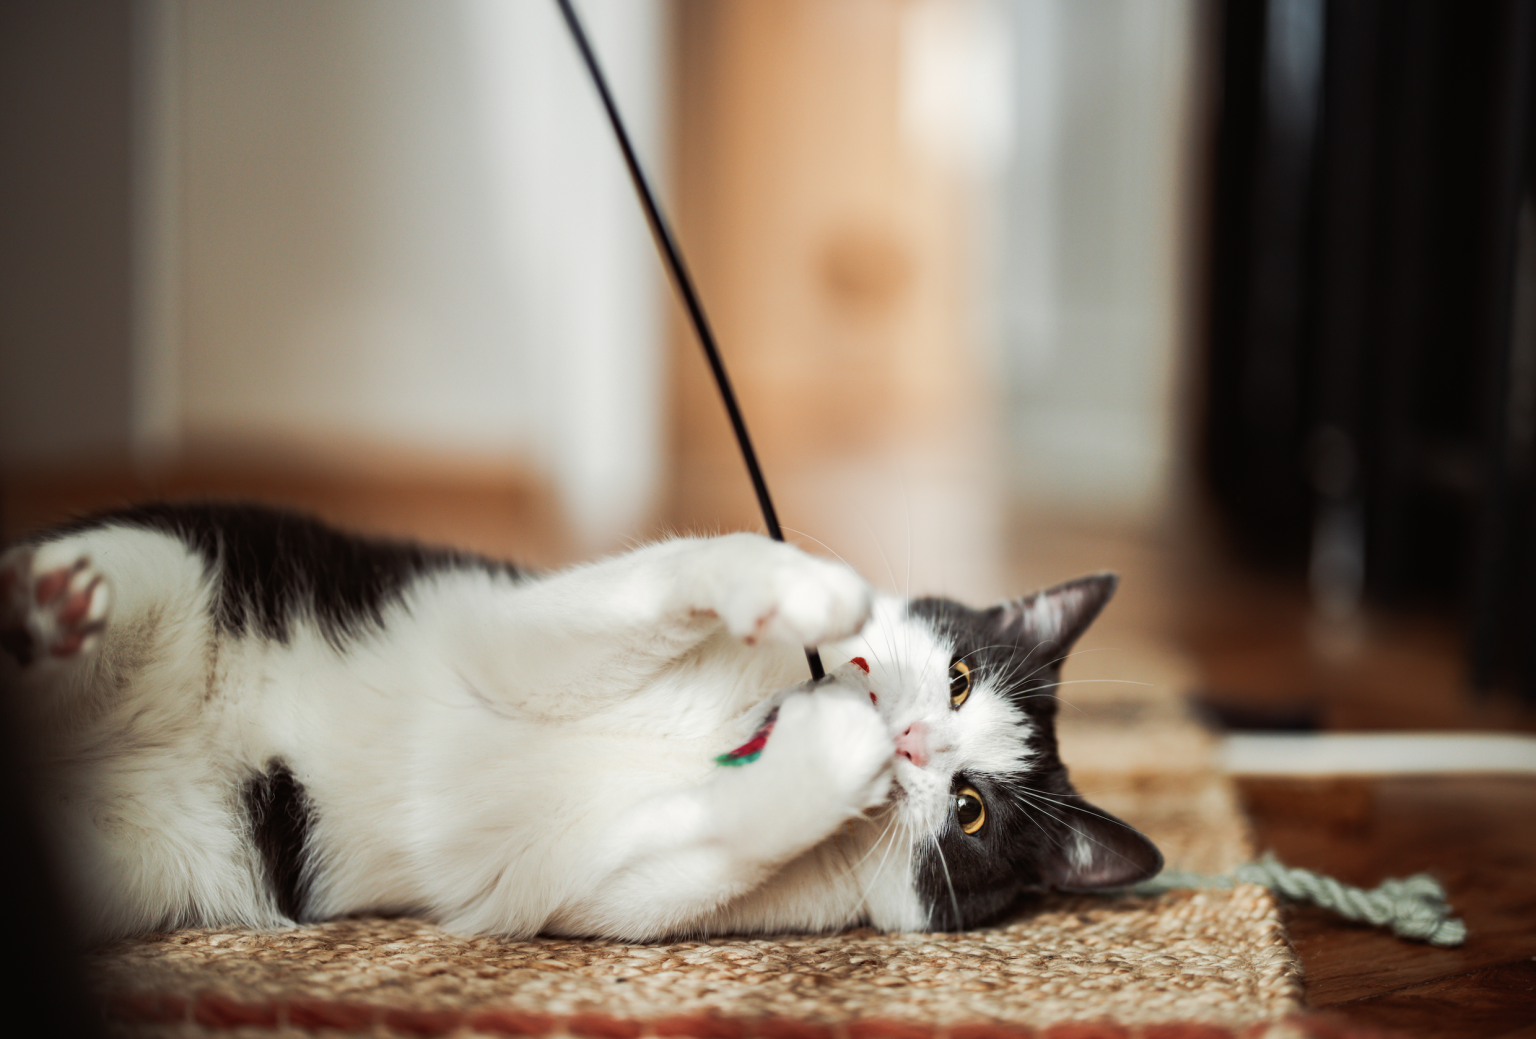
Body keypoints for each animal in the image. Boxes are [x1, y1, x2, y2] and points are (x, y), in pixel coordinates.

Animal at [0, 497, 1155, 946]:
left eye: (970, 810)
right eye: (958, 678)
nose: (917, 741)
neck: (729, 730)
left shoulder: (594, 887)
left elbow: (718, 839)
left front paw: (833, 758)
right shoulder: (511, 634)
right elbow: (675, 567)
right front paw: (800, 585)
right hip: (174, 560)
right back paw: (43, 602)